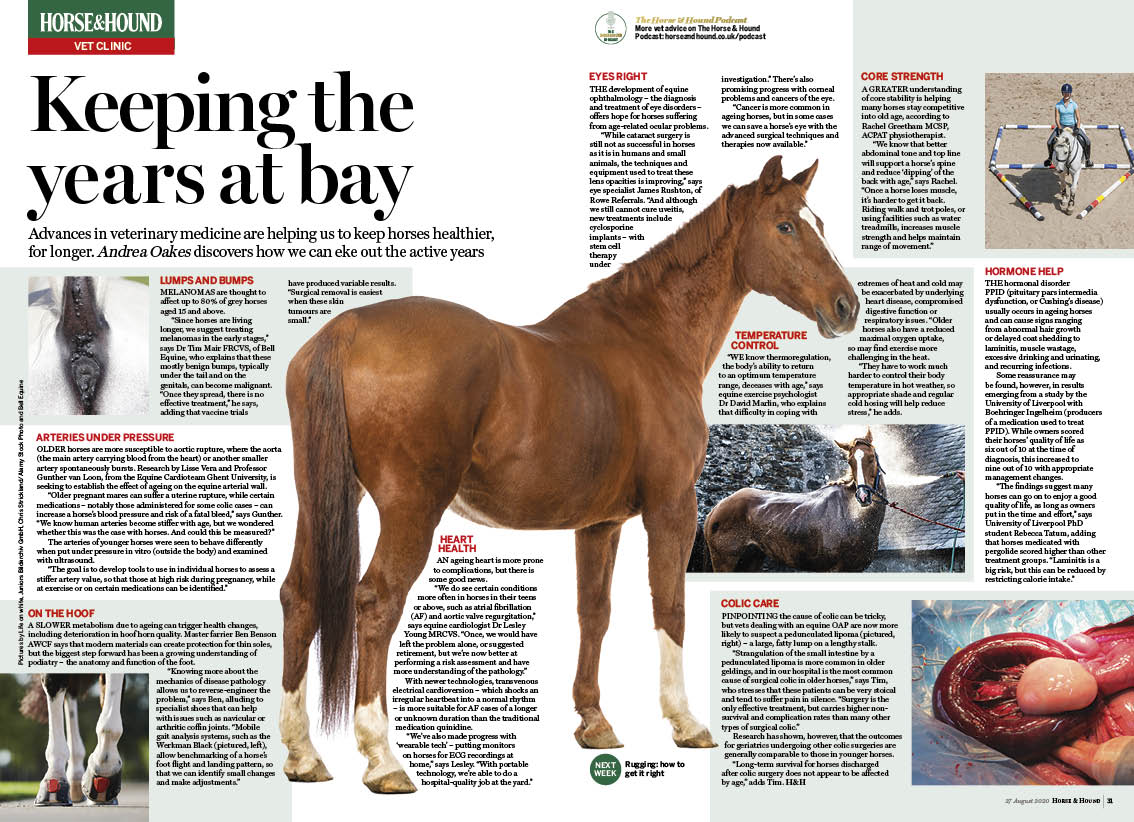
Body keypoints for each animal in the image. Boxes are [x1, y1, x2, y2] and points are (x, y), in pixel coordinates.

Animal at [278, 155, 859, 794]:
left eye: (819, 223)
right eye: (786, 226)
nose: (846, 307)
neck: (651, 339)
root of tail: (345, 329)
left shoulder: (599, 524)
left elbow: (594, 613)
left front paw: (595, 722)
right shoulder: (672, 507)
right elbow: (669, 605)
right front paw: (685, 722)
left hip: (322, 498)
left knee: (300, 596)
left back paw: (304, 756)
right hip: (411, 507)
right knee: (377, 601)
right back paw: (383, 759)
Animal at [702, 430, 885, 572]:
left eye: (871, 458)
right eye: (850, 461)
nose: (863, 496)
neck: (850, 514)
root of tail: (716, 508)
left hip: (752, 559)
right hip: (725, 562)